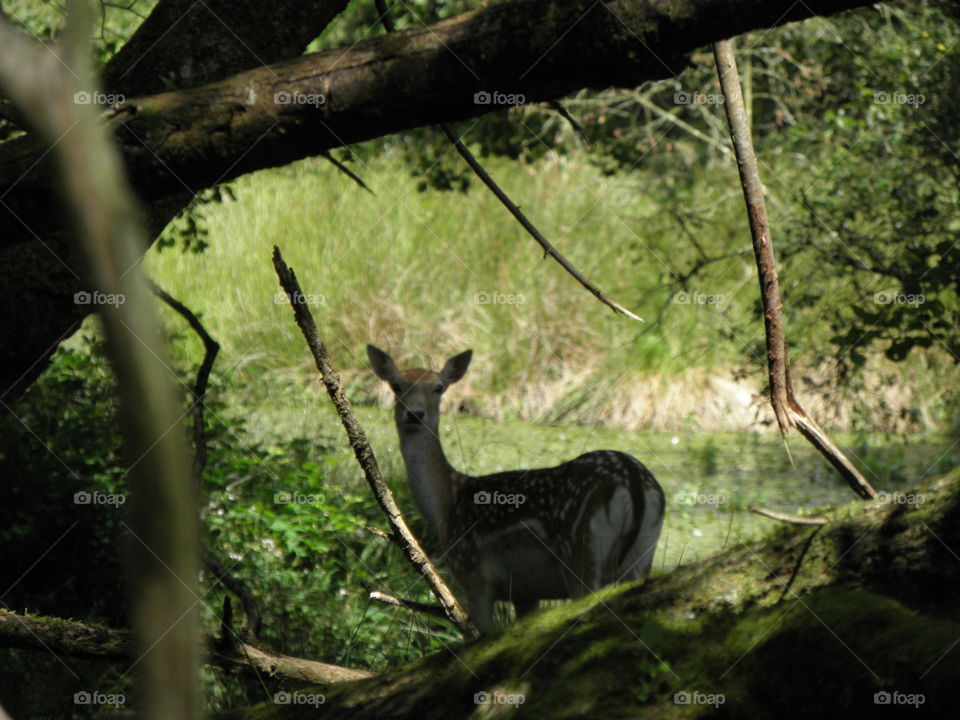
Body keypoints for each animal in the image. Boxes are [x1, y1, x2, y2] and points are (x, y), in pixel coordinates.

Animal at [367, 344, 666, 633]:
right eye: (396, 385)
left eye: (439, 387)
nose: (415, 414)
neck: (447, 505)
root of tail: (633, 482)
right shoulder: (524, 593)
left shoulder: (474, 574)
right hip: (642, 555)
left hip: (581, 552)